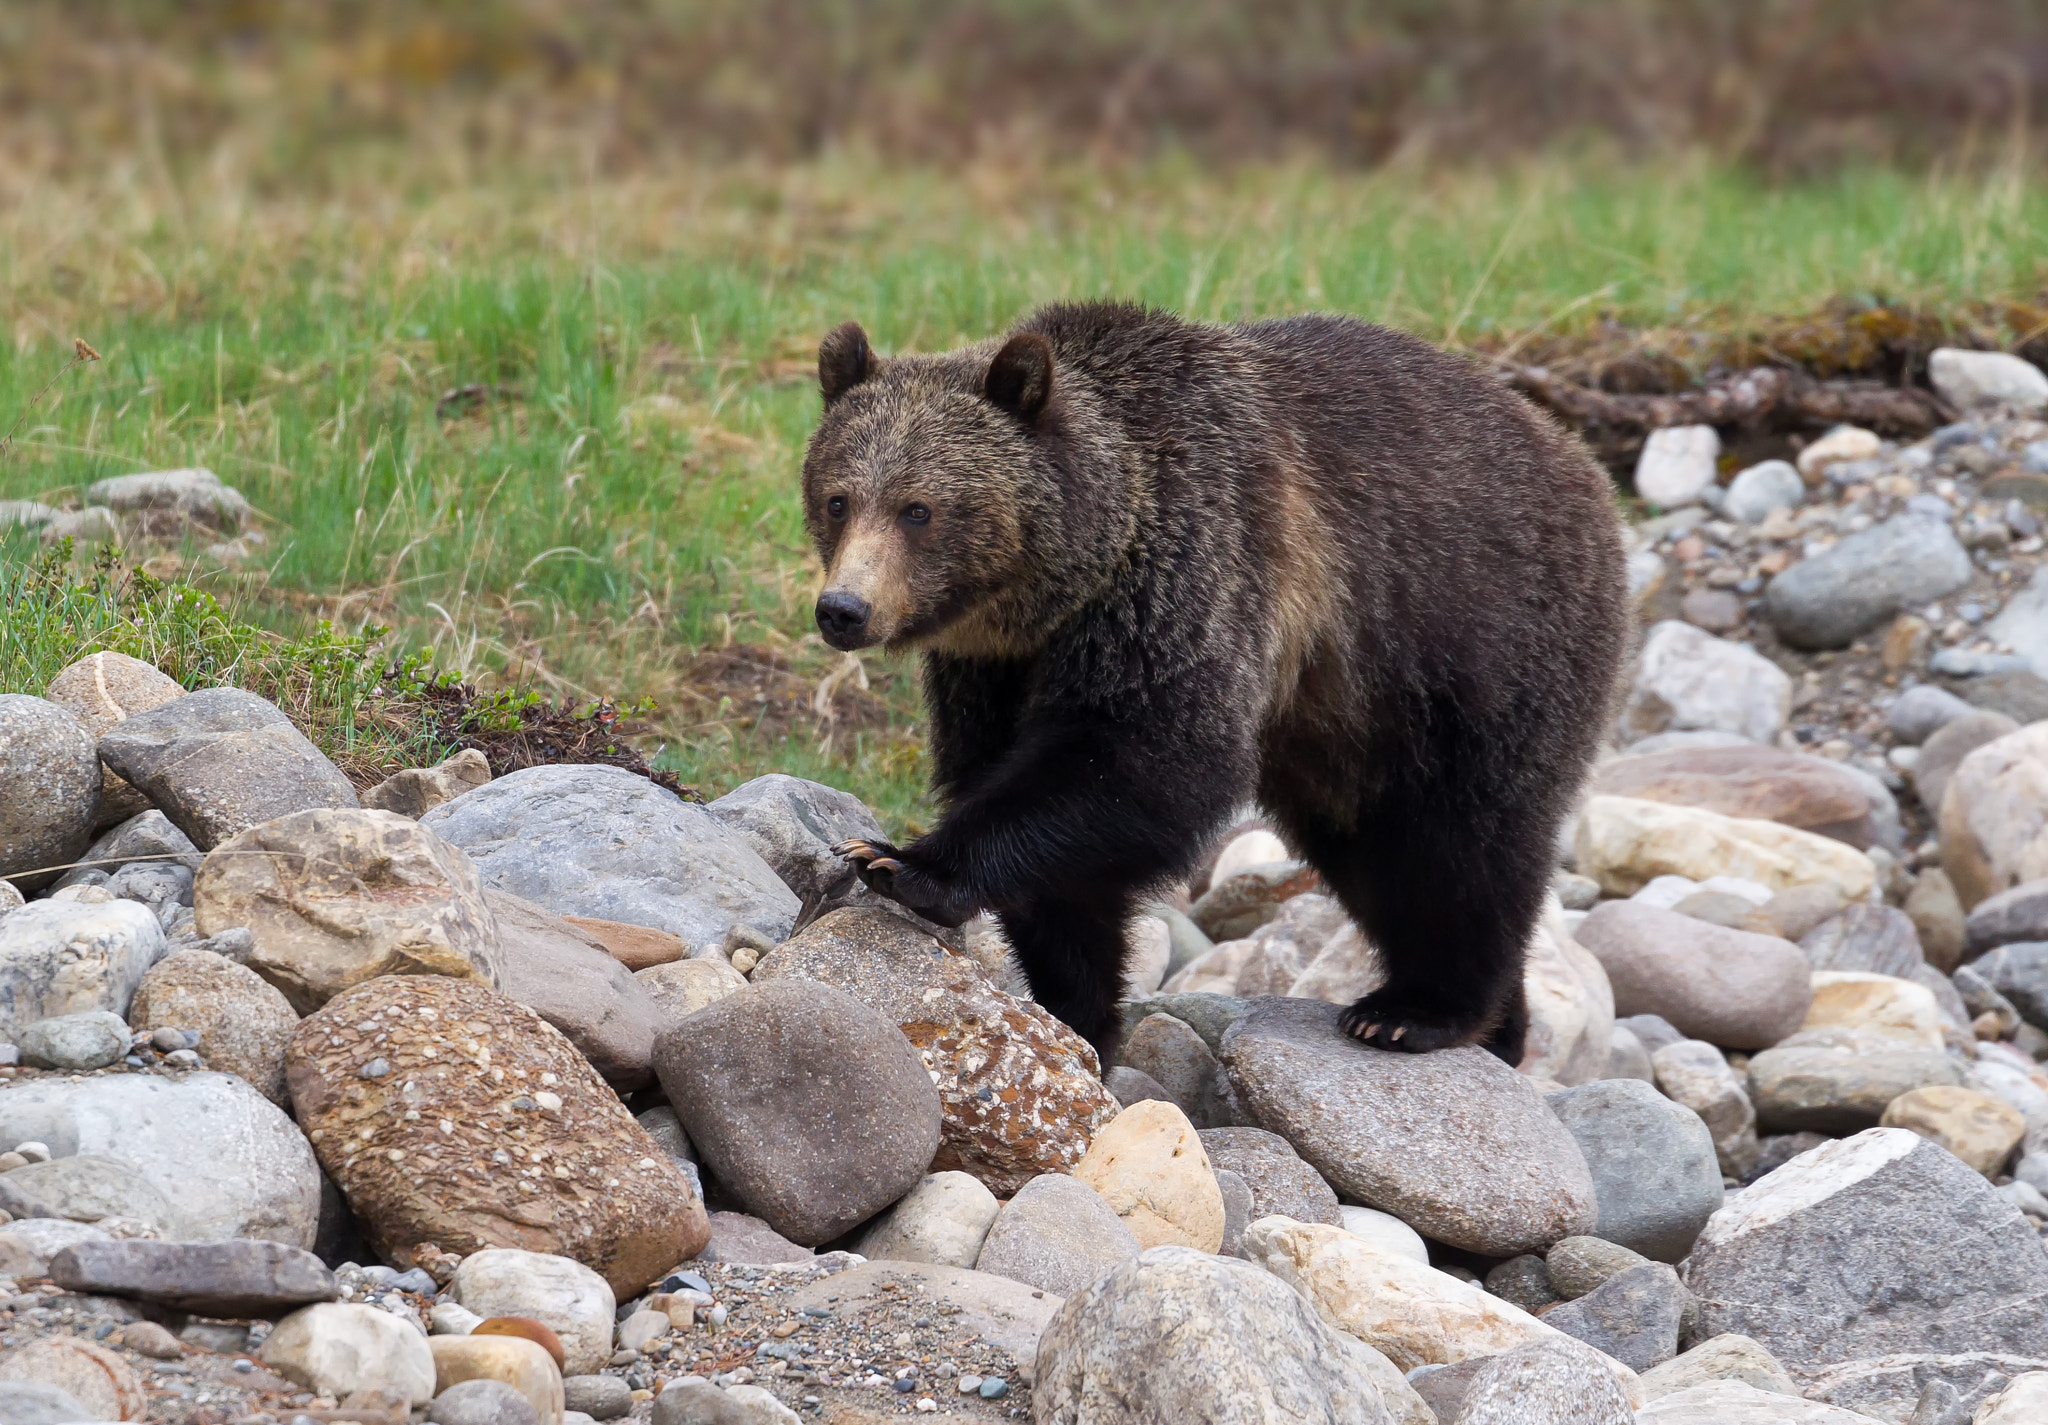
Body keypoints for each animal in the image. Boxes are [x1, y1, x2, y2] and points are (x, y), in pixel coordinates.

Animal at [799, 301, 1628, 1067]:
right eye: (838, 498)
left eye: (918, 509)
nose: (844, 608)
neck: (1058, 591)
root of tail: (1584, 464)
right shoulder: (995, 670)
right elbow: (1044, 831)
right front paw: (1078, 1009)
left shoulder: (1188, 575)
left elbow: (1149, 758)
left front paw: (899, 862)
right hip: (1337, 730)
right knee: (1376, 855)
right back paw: (1501, 1028)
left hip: (1469, 646)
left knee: (1461, 841)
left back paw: (1415, 1009)